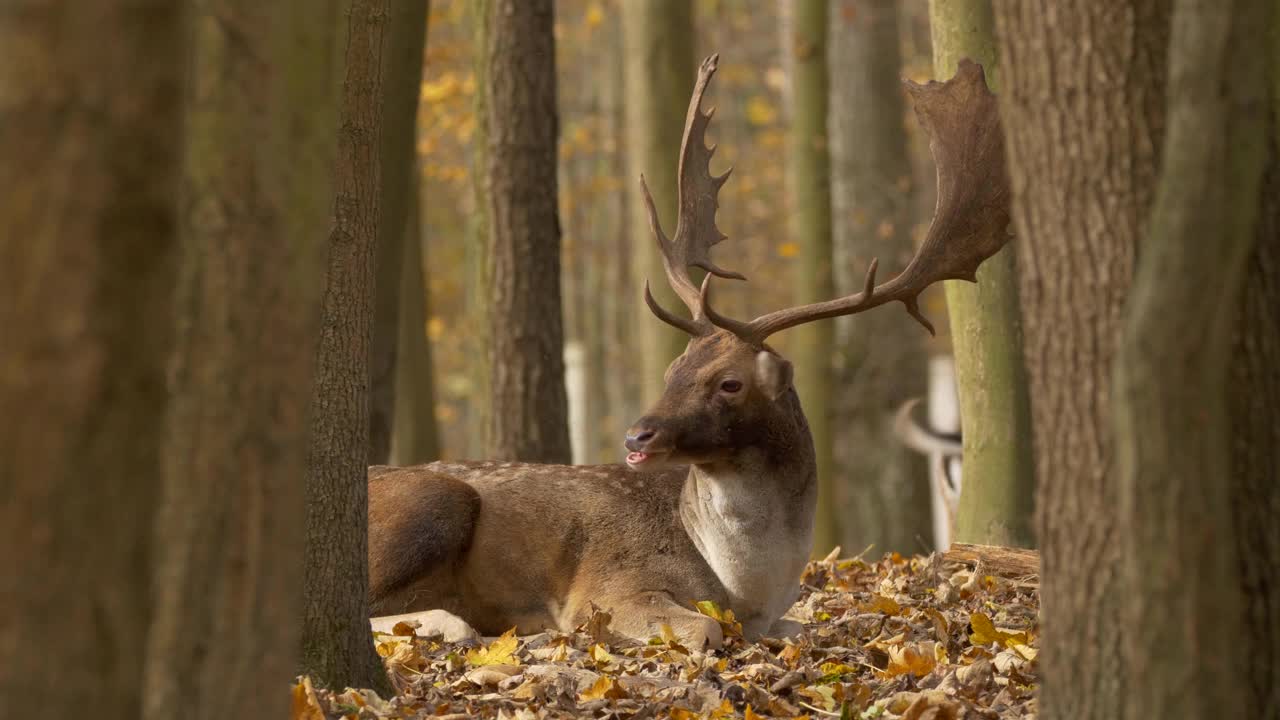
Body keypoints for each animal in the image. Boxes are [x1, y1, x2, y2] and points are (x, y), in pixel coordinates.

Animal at [368, 54, 1008, 645]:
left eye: (730, 382)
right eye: (673, 368)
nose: (637, 436)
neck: (746, 585)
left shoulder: (774, 618)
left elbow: (803, 630)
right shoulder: (610, 586)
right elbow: (703, 630)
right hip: (434, 501)